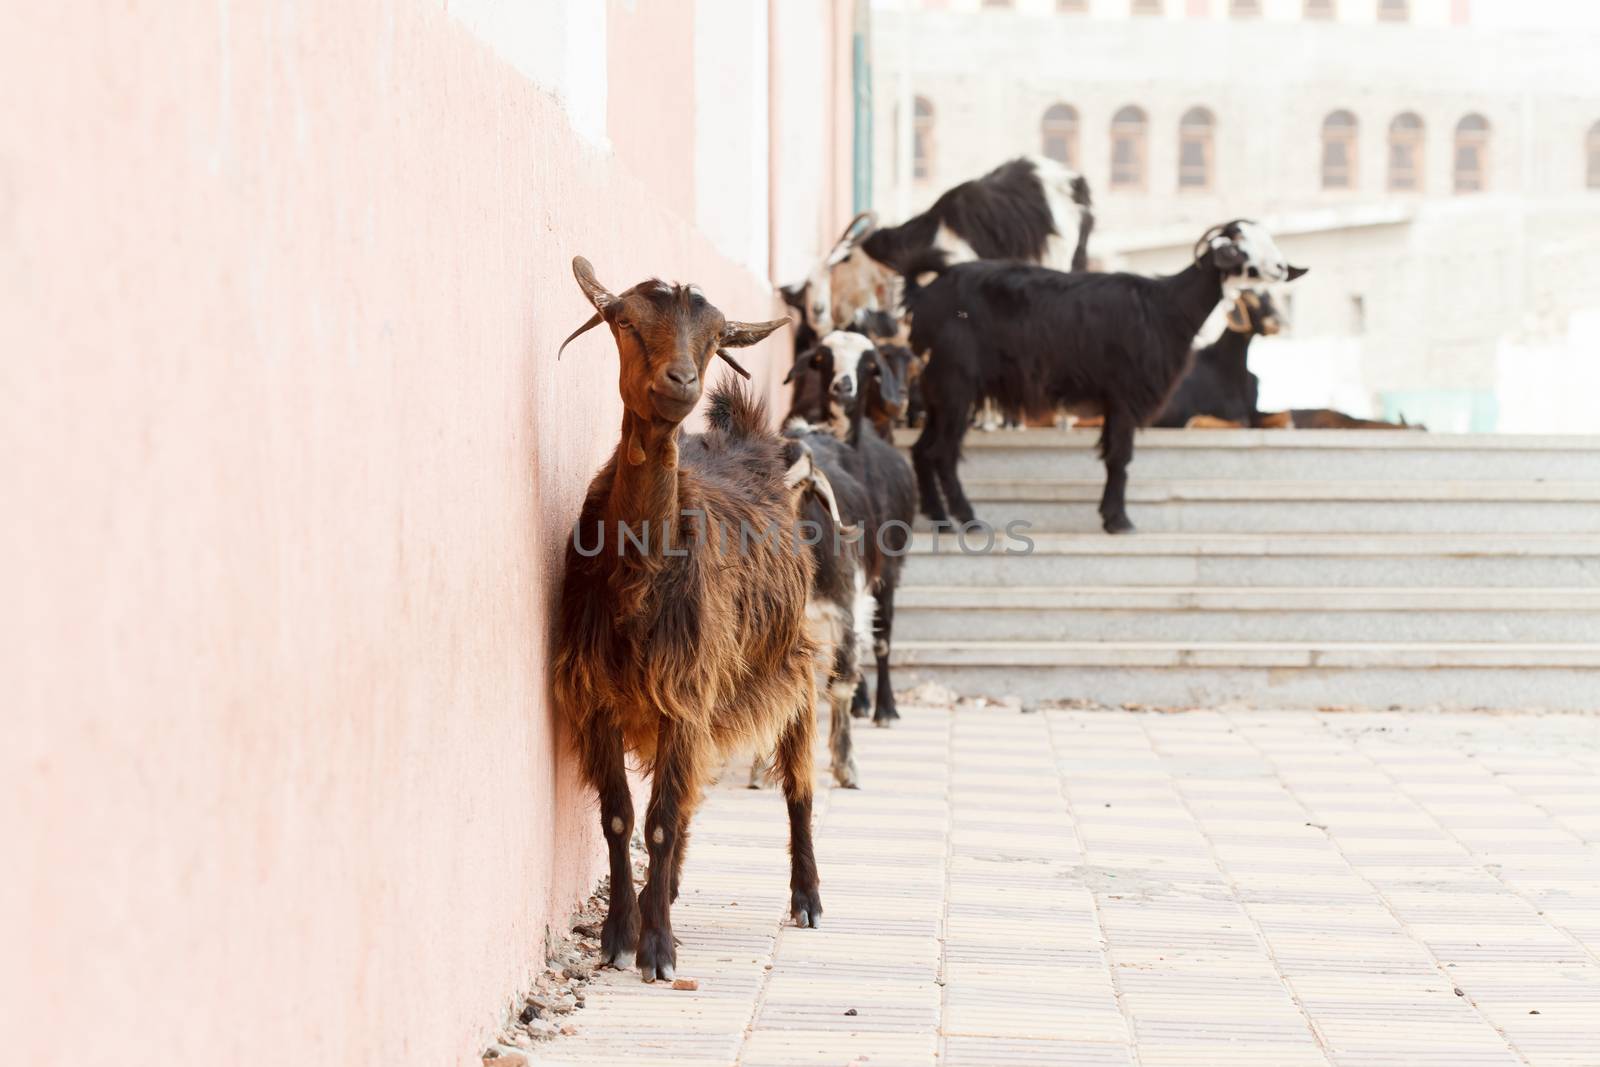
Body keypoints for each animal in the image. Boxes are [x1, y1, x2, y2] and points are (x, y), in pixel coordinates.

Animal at [553, 255, 825, 985]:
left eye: (711, 338)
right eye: (625, 321)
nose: (681, 382)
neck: (636, 578)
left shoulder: (686, 690)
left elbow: (661, 821)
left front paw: (658, 948)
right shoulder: (598, 695)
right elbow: (623, 820)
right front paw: (620, 934)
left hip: (795, 664)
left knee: (798, 783)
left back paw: (807, 897)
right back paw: (665, 891)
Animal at [784, 329, 915, 723]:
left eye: (870, 365)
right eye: (823, 359)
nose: (843, 387)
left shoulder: (876, 570)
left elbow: (876, 638)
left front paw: (882, 707)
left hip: (887, 571)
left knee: (879, 636)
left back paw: (883, 707)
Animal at [908, 220, 1305, 534]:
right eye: (1238, 248)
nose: (1281, 268)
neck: (1166, 307)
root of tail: (924, 296)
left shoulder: (1116, 399)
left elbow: (1113, 454)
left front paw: (1110, 516)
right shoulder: (1127, 392)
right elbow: (1120, 456)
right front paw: (1119, 521)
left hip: (935, 388)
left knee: (922, 449)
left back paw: (939, 519)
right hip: (955, 381)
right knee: (943, 452)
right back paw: (968, 520)